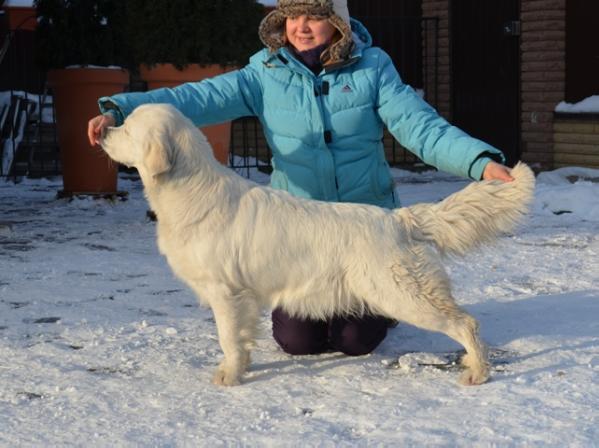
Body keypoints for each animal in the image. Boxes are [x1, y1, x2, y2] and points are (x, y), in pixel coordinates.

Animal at [101, 103, 536, 386]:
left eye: (128, 129)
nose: (102, 129)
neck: (191, 190)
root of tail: (399, 219)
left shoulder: (226, 292)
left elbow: (227, 337)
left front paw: (229, 375)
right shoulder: (243, 298)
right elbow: (241, 338)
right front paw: (243, 366)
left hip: (402, 294)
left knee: (466, 323)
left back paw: (477, 371)